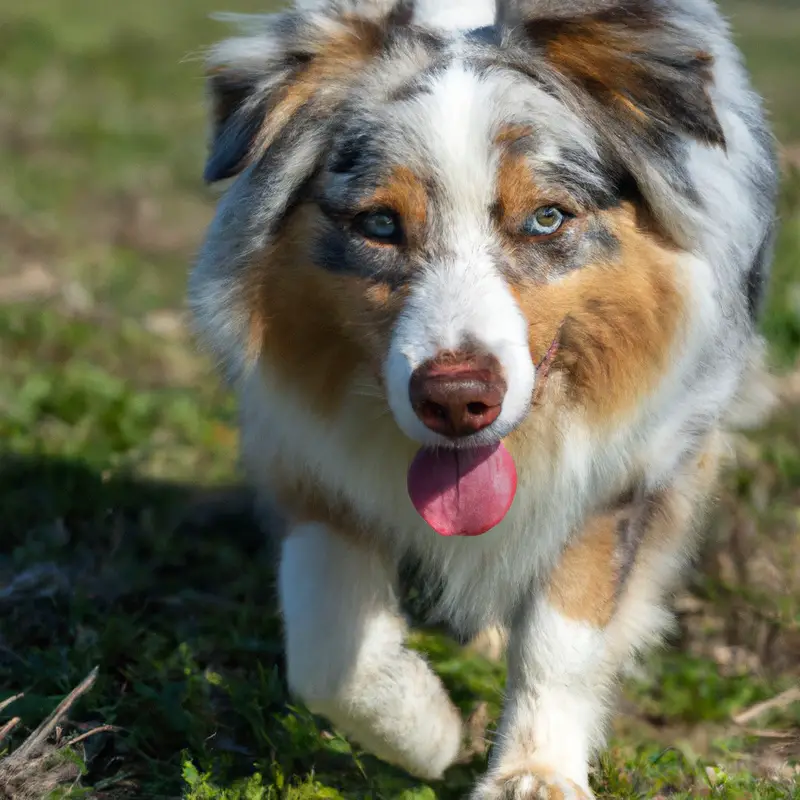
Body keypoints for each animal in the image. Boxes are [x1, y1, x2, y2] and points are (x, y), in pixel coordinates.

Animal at [186, 3, 776, 796]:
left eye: (547, 219)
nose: (458, 399)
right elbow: (328, 655)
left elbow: (562, 632)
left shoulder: (626, 466)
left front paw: (533, 772)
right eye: (379, 224)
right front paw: (428, 732)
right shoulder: (305, 454)